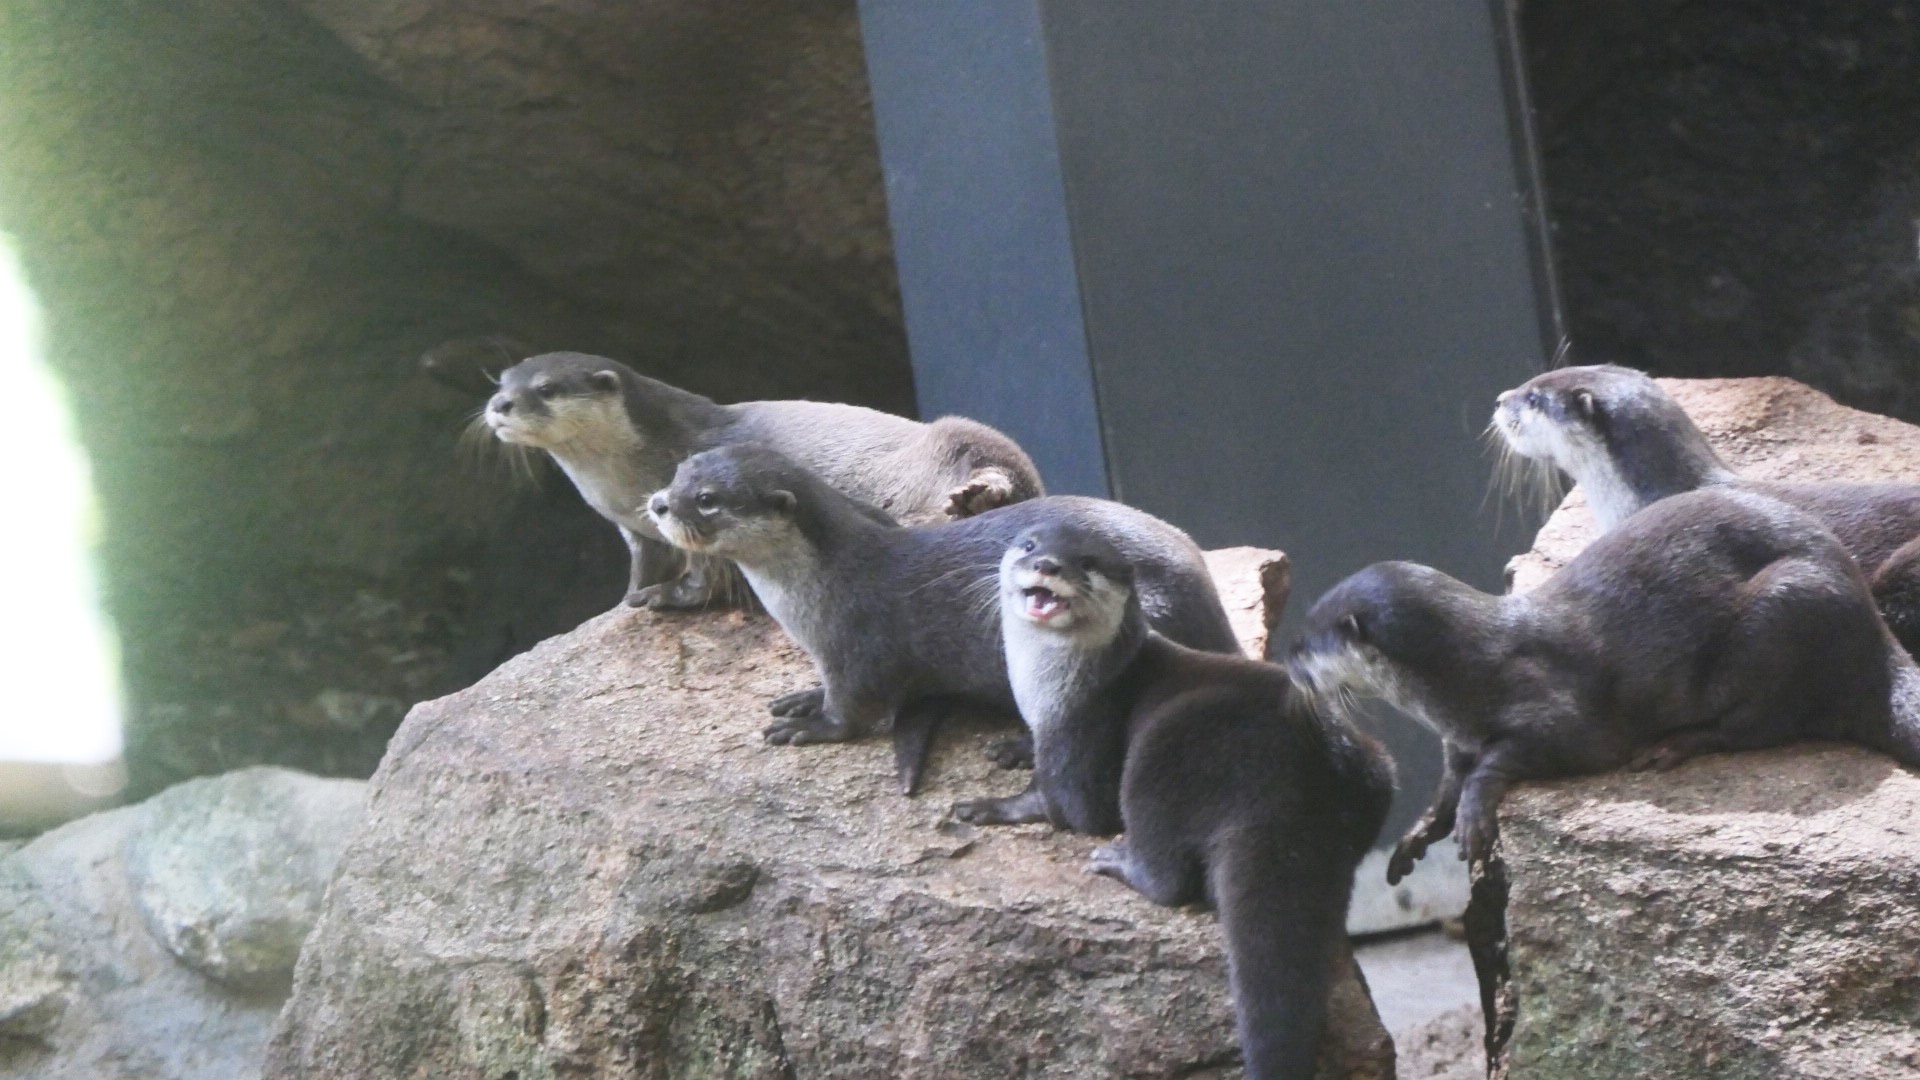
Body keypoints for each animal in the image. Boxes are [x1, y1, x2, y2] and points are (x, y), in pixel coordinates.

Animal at [482, 352, 1043, 609]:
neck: (619, 483)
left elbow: (706, 575)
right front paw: (629, 598)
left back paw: (972, 497)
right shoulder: (636, 530)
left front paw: (665, 598)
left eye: (546, 388)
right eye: (501, 381)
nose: (498, 405)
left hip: (960, 438)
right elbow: (642, 565)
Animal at [645, 444, 1239, 799]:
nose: (657, 503)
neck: (819, 585)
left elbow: (851, 711)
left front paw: (812, 727)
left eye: (707, 500)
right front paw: (803, 697)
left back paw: (1020, 748)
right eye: (677, 474)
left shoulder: (857, 643)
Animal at [995, 523, 1392, 1079]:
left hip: (1161, 754)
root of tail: (1304, 781)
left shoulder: (1079, 729)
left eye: (1088, 562)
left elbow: (1070, 810)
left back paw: (1120, 862)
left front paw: (996, 808)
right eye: (1030, 546)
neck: (1047, 691)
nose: (1048, 565)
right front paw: (1012, 747)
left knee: (1166, 877)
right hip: (1377, 772)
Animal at [1289, 488, 1920, 880]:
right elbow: (1446, 785)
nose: (1288, 660)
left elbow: (1514, 755)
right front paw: (1418, 834)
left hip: (1785, 611)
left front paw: (1474, 812)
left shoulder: (1554, 713)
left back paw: (1671, 746)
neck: (1464, 678)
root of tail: (1872, 631)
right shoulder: (1455, 741)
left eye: (1311, 636)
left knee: (1759, 724)